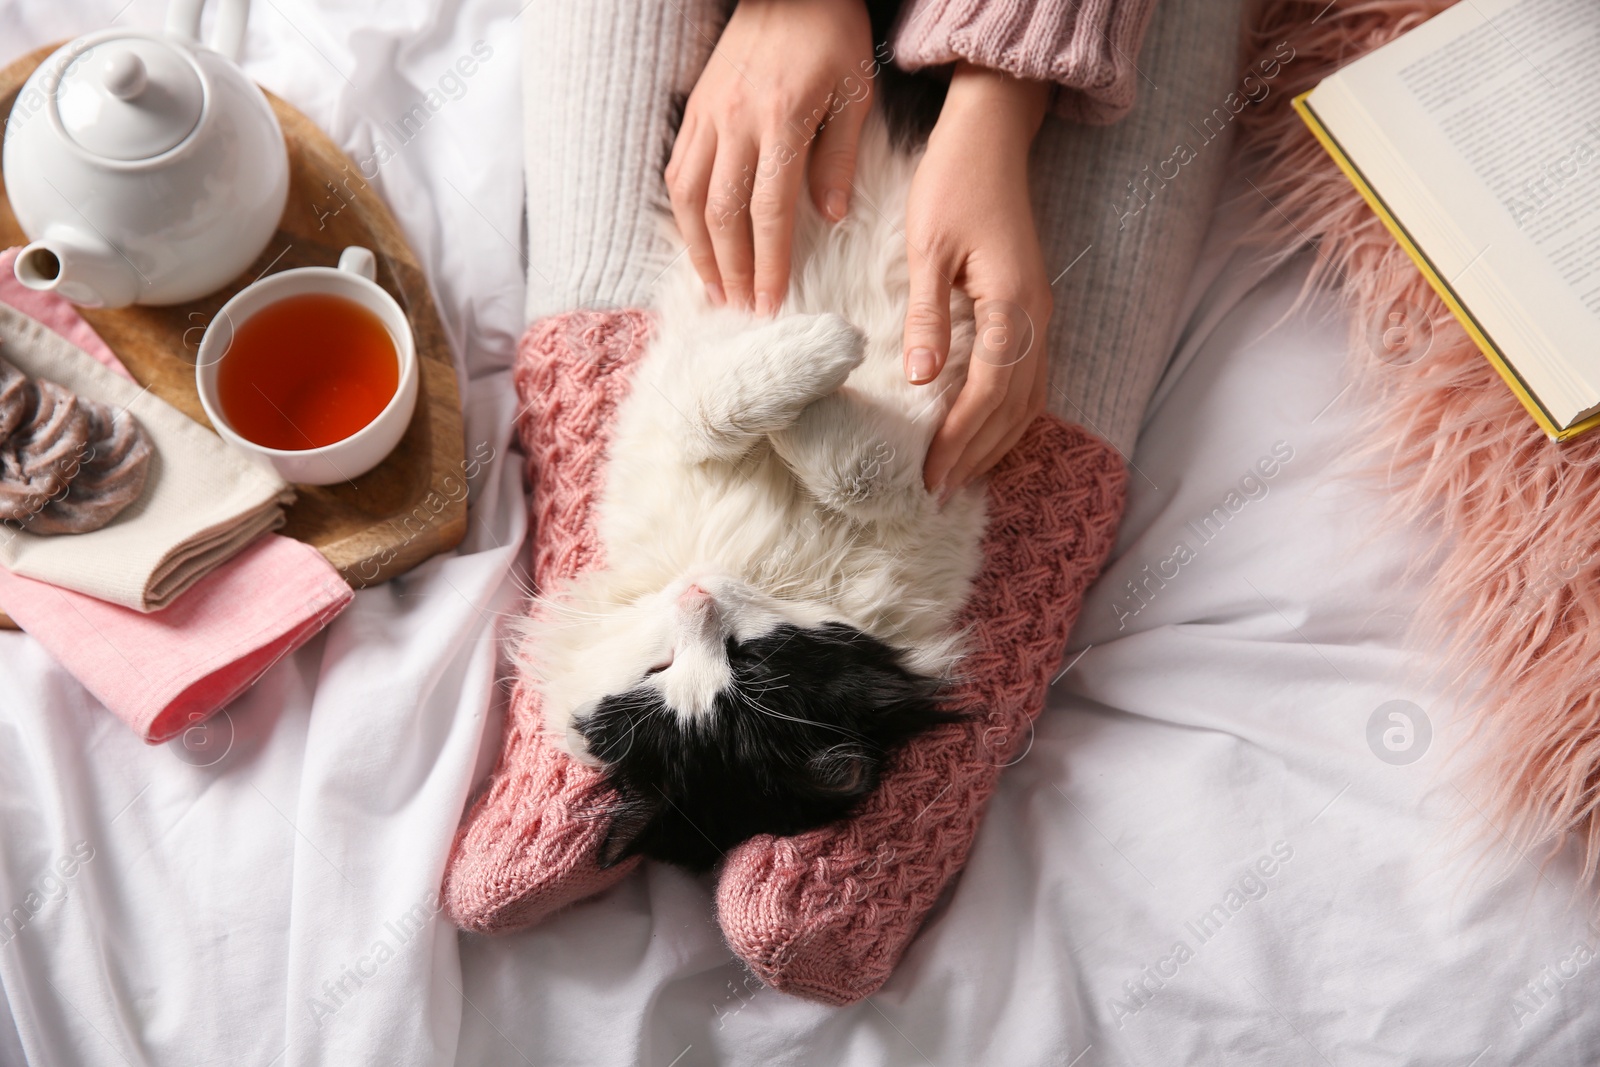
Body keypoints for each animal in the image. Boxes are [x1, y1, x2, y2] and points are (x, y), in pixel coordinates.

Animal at [518, 112, 985, 870]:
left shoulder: (937, 488)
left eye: (749, 659)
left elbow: (838, 464)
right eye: (660, 668)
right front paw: (831, 347)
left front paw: (831, 355)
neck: (774, 574)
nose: (696, 597)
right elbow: (738, 417)